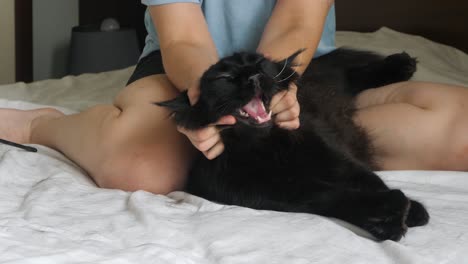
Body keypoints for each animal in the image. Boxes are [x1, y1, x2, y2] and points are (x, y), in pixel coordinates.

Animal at [155, 48, 430, 241]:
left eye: (258, 62)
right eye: (225, 77)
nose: (255, 75)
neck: (265, 146)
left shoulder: (330, 152)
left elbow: (366, 178)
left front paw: (413, 210)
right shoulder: (265, 190)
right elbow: (329, 195)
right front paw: (391, 214)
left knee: (354, 74)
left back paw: (401, 64)